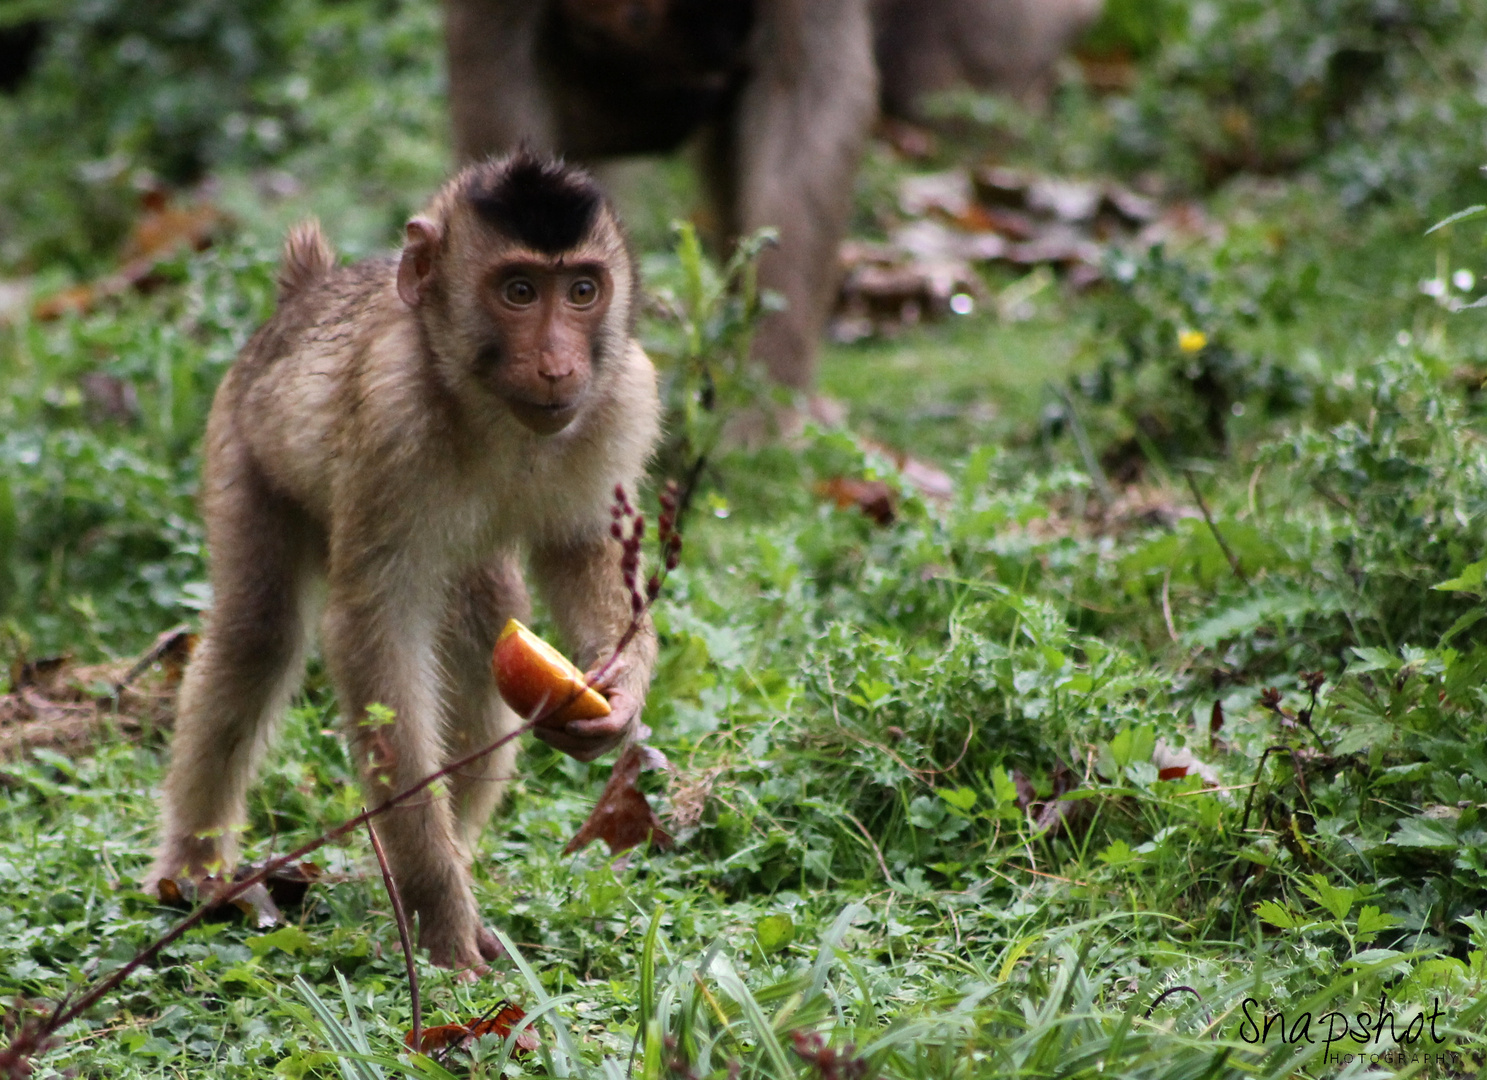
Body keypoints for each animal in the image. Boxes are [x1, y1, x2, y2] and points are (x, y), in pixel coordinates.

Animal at [147, 152, 660, 975]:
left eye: (582, 290)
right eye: (519, 292)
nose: (557, 366)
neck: (490, 413)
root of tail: (302, 295)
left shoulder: (621, 399)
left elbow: (583, 553)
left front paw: (616, 699)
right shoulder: (393, 422)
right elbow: (370, 634)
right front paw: (440, 920)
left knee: (484, 630)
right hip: (243, 442)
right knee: (259, 631)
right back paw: (194, 874)